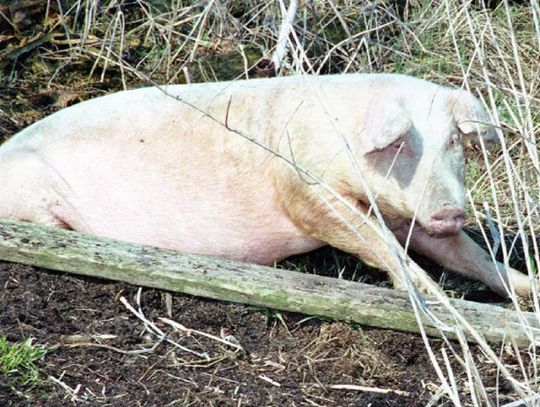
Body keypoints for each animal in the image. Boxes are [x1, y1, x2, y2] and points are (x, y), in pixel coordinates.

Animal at [0, 72, 532, 296]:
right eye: (401, 146)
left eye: (453, 143)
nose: (452, 211)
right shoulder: (306, 193)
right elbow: (377, 244)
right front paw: (434, 297)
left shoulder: (407, 216)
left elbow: (471, 257)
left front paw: (529, 289)